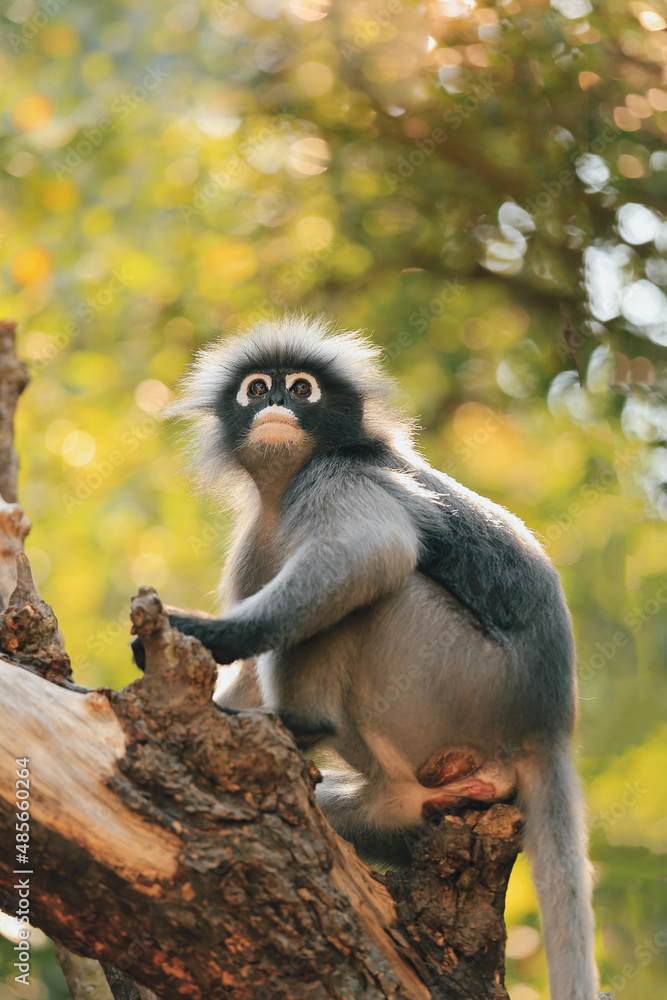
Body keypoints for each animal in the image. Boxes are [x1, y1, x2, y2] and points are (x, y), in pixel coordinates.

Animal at [131, 314, 599, 1000]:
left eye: (302, 388)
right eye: (256, 388)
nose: (275, 402)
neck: (284, 488)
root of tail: (550, 725)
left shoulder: (336, 476)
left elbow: (369, 549)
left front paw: (209, 635)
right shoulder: (257, 537)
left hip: (458, 681)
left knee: (376, 586)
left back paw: (302, 724)